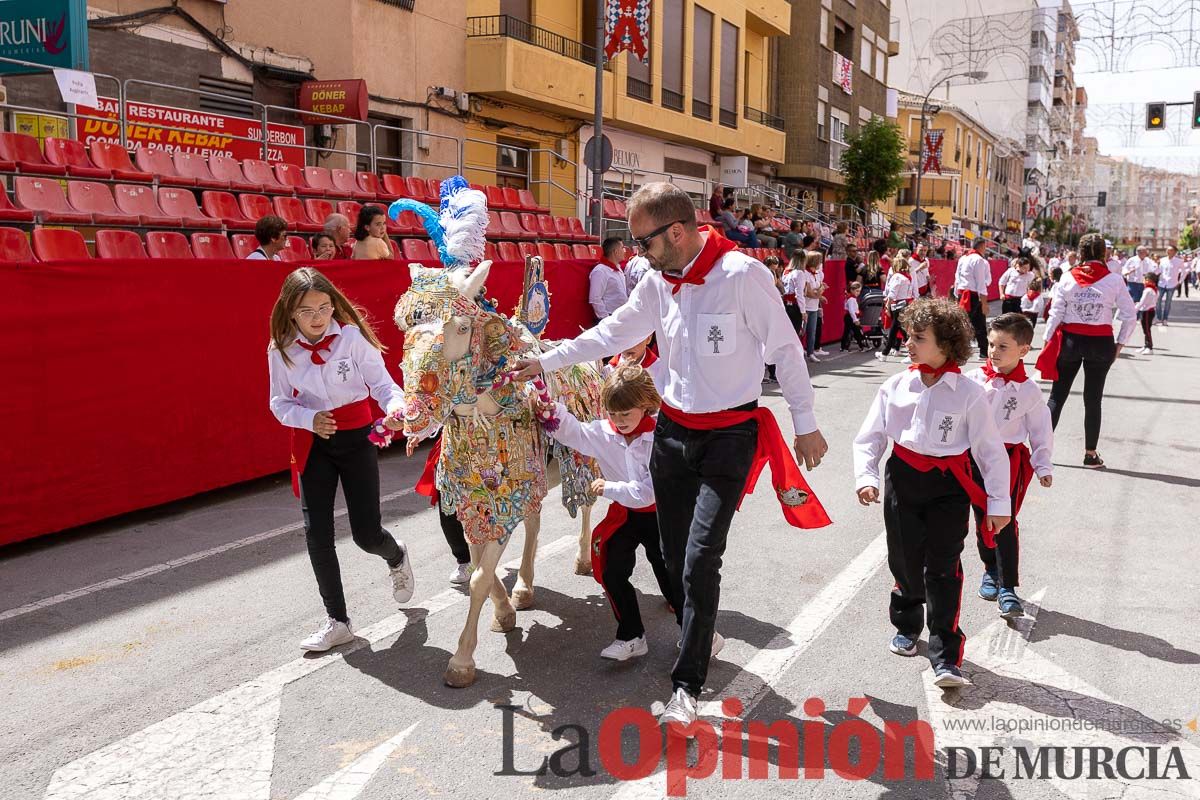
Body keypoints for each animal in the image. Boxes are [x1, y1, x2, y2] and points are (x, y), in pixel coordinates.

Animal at [379, 179, 604, 690]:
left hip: (582, 463)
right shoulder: (476, 495)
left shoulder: (511, 486)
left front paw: (462, 660)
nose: (412, 412)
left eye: (461, 326)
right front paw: (505, 610)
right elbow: (483, 560)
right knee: (536, 525)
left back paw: (582, 557)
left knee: (585, 507)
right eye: (404, 324)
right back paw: (525, 587)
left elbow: (482, 576)